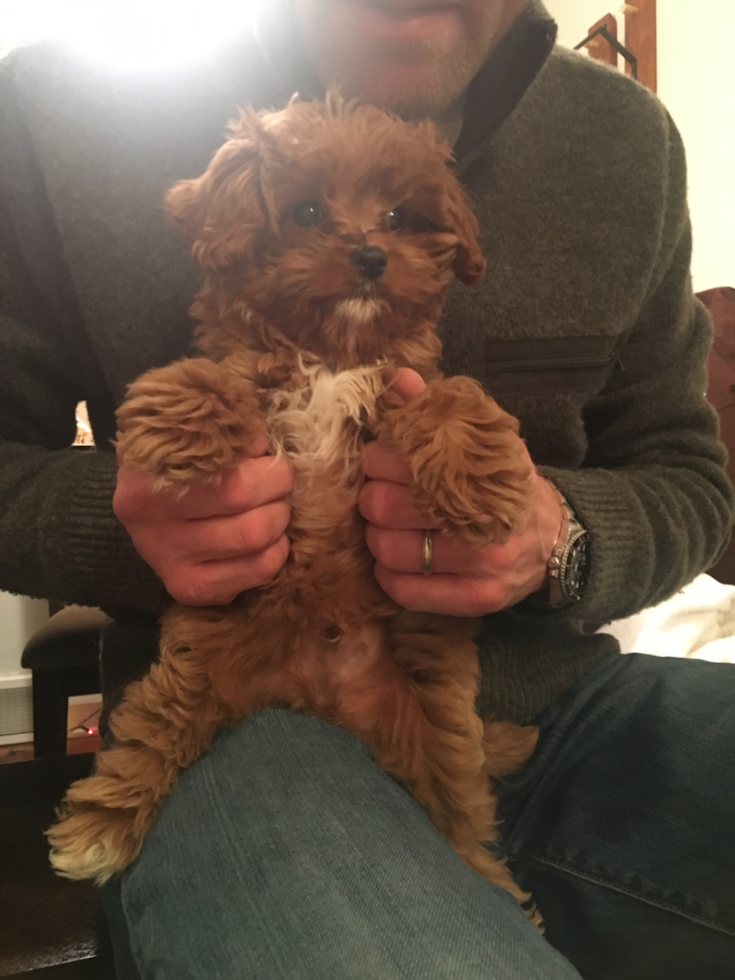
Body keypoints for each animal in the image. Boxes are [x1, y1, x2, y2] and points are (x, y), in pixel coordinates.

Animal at [47, 95, 540, 924]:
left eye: (399, 217)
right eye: (307, 211)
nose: (370, 255)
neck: (331, 352)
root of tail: (320, 697)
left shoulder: (400, 384)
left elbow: (451, 396)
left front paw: (482, 479)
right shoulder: (258, 374)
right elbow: (223, 375)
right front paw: (174, 416)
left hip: (434, 728)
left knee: (460, 813)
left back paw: (493, 885)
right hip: (202, 663)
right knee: (155, 730)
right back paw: (98, 829)